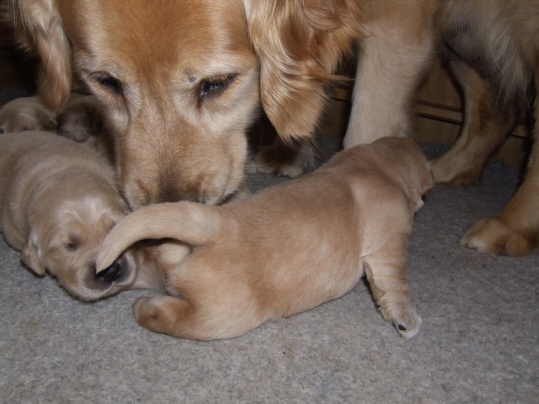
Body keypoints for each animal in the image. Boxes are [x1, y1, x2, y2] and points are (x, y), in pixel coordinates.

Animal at [97, 137, 434, 340]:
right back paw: (143, 306)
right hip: (219, 316)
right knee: (169, 316)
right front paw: (406, 320)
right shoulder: (390, 244)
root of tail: (218, 225)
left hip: (163, 253)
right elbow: (396, 285)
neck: (380, 164)